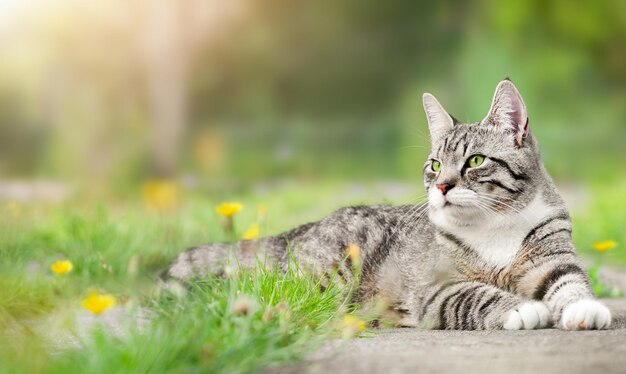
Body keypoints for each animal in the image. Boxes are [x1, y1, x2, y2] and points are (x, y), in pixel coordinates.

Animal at [162, 79, 608, 330]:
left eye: (475, 161)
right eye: (435, 165)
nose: (442, 186)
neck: (494, 226)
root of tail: (300, 230)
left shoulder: (552, 258)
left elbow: (569, 283)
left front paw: (586, 309)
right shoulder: (436, 290)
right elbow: (479, 295)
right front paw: (522, 310)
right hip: (331, 277)